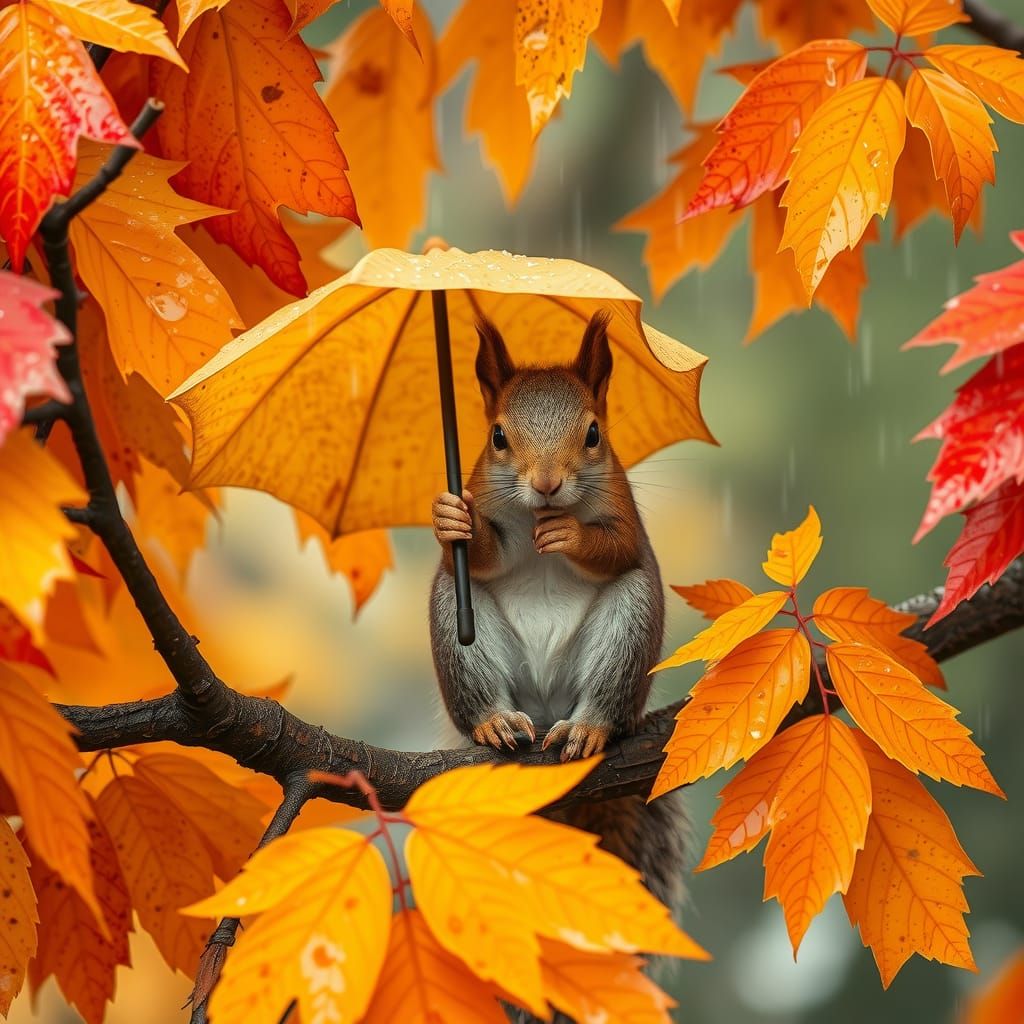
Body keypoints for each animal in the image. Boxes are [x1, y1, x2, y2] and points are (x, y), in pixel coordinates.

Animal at [429, 309, 686, 934]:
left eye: (593, 434)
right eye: (498, 437)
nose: (546, 484)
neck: (539, 514)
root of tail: (546, 711)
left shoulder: (623, 509)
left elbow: (618, 548)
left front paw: (570, 534)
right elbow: (481, 556)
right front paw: (451, 518)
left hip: (627, 629)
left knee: (605, 698)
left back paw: (587, 727)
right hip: (458, 625)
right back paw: (496, 722)